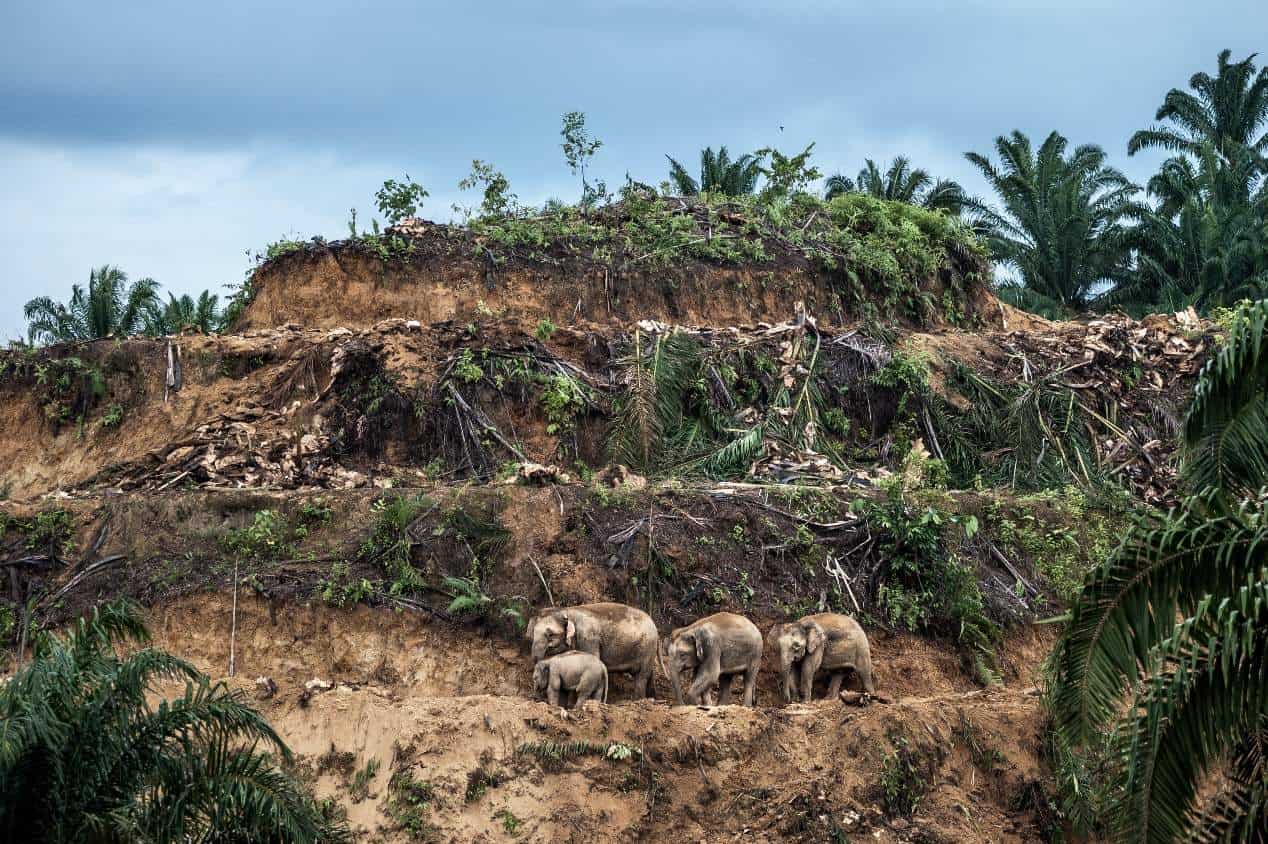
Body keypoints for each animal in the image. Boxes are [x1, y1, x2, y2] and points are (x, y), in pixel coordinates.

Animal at [527, 598, 659, 694]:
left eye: (550, 634)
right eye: (533, 633)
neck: (566, 611)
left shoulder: (588, 638)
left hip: (647, 648)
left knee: (641, 677)